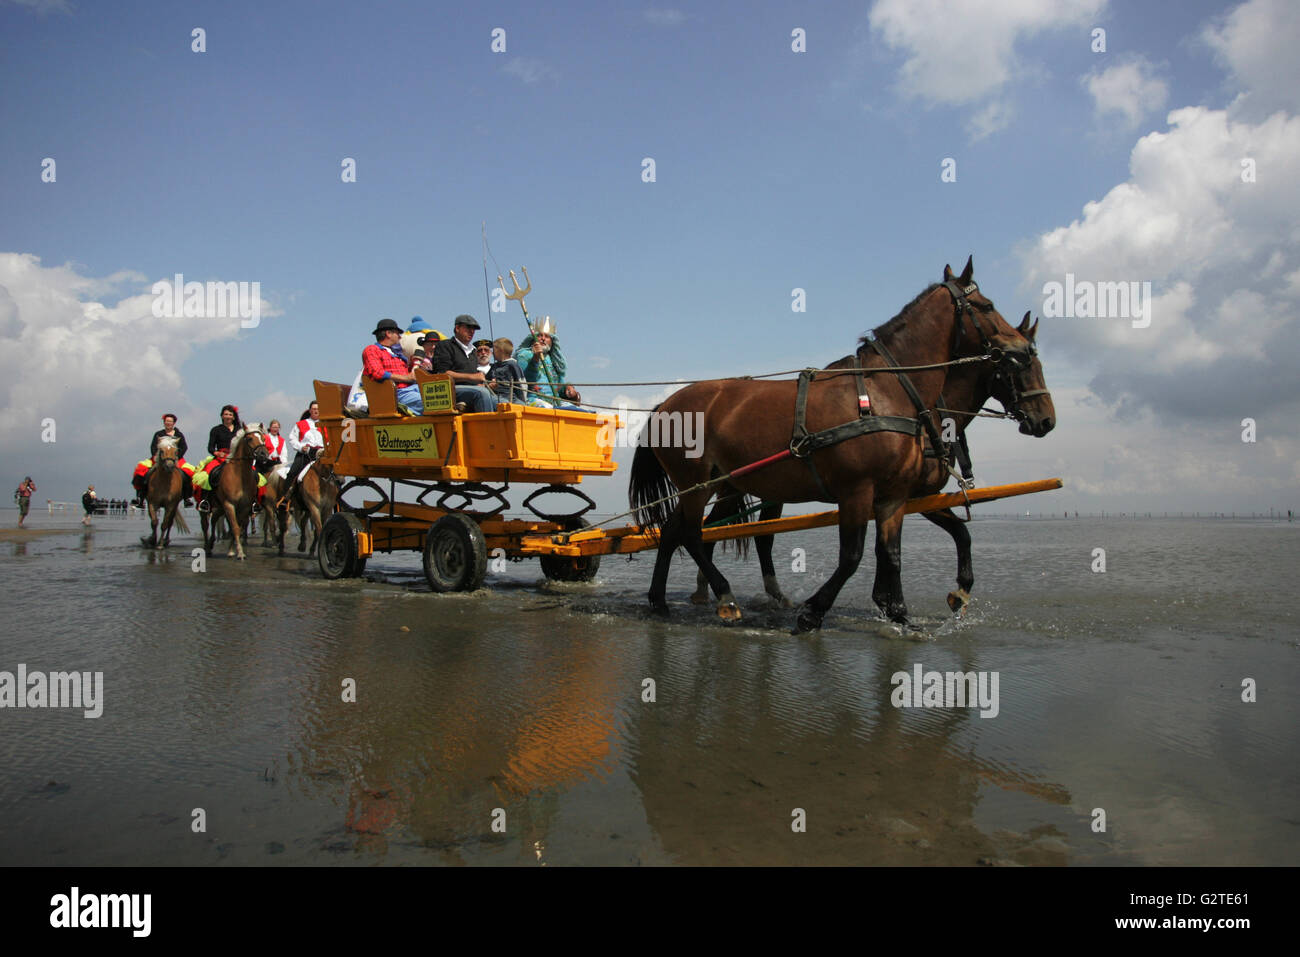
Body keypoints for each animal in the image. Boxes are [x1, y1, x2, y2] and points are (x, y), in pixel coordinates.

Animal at [631, 260, 1055, 634]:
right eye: (987, 306)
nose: (1047, 421)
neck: (887, 392)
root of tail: (664, 405)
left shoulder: (895, 495)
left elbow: (892, 553)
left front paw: (899, 613)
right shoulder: (858, 491)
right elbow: (852, 556)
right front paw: (814, 612)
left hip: (718, 483)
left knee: (674, 531)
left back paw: (660, 599)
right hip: (696, 483)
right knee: (692, 534)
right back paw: (723, 597)